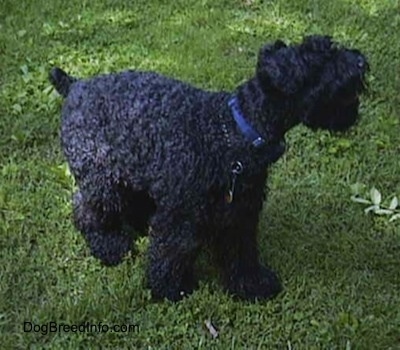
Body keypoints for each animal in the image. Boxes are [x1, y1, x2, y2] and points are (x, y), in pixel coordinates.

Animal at [50, 37, 368, 302]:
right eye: (322, 57)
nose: (361, 61)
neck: (233, 128)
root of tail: (75, 86)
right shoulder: (181, 217)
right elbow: (171, 251)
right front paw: (171, 289)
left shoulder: (240, 213)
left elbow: (242, 253)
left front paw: (252, 285)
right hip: (103, 179)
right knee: (88, 210)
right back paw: (110, 247)